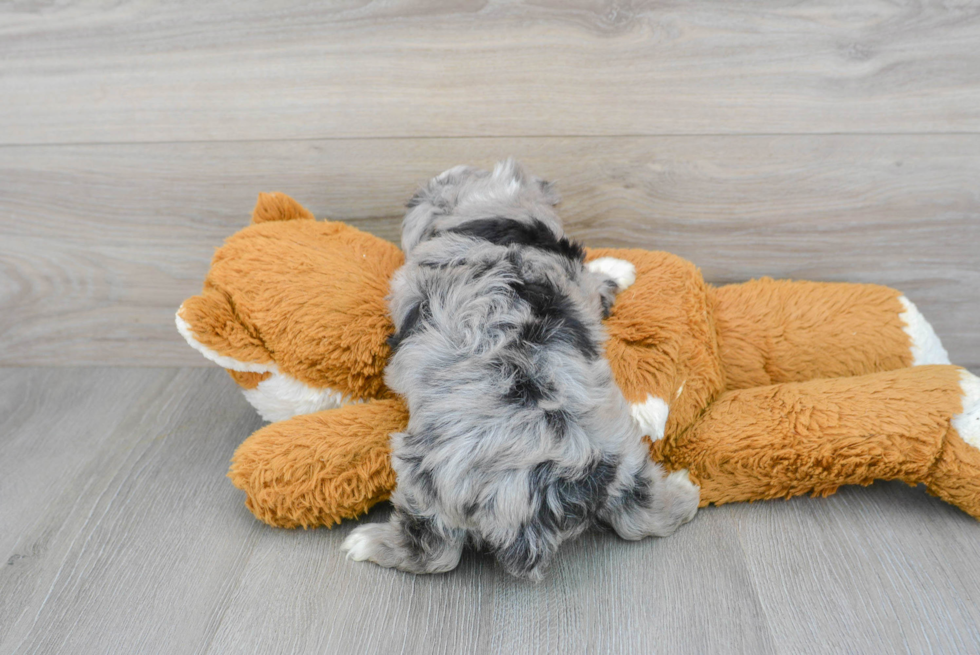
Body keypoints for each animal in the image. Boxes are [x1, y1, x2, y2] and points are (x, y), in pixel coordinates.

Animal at [342, 161, 696, 580]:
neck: (487, 221)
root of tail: (556, 479)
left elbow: (598, 280)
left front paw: (618, 267)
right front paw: (620, 267)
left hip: (424, 483)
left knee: (434, 553)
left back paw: (366, 543)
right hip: (627, 460)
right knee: (643, 518)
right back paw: (685, 491)